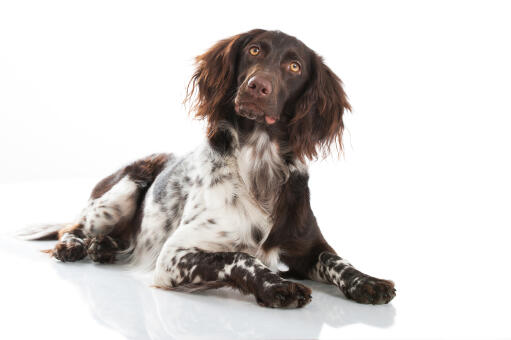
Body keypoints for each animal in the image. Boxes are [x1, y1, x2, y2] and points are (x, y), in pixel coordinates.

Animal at [23, 29, 396, 306]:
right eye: (255, 50)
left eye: (295, 67)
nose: (257, 86)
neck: (259, 168)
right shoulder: (174, 255)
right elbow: (241, 257)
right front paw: (277, 286)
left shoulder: (309, 248)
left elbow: (338, 260)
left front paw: (368, 281)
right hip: (122, 192)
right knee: (71, 226)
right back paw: (75, 246)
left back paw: (103, 247)